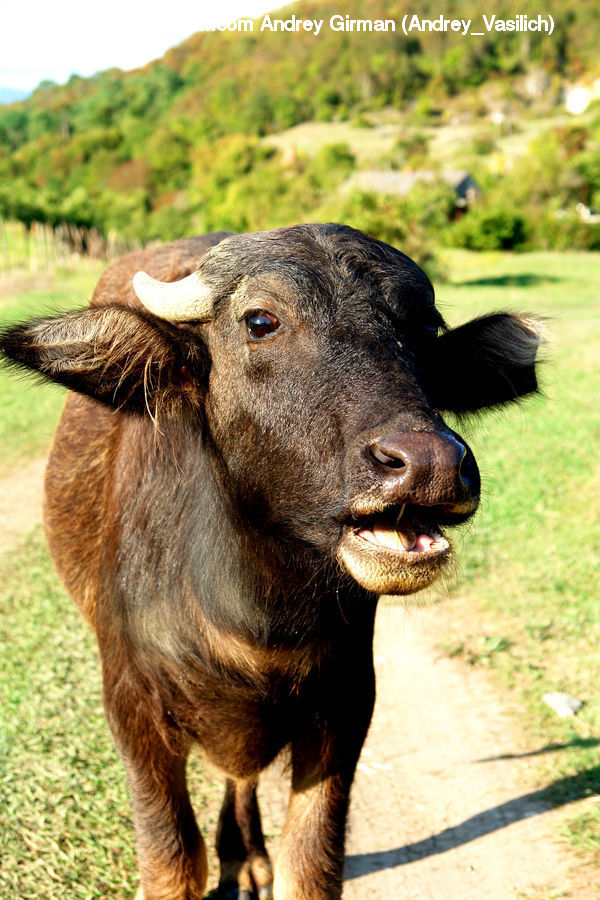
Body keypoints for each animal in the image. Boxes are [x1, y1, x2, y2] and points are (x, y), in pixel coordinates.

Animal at [0, 224, 542, 900]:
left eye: (425, 328)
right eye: (261, 321)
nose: (430, 462)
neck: (254, 616)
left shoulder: (344, 710)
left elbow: (308, 867)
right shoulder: (132, 711)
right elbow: (172, 865)